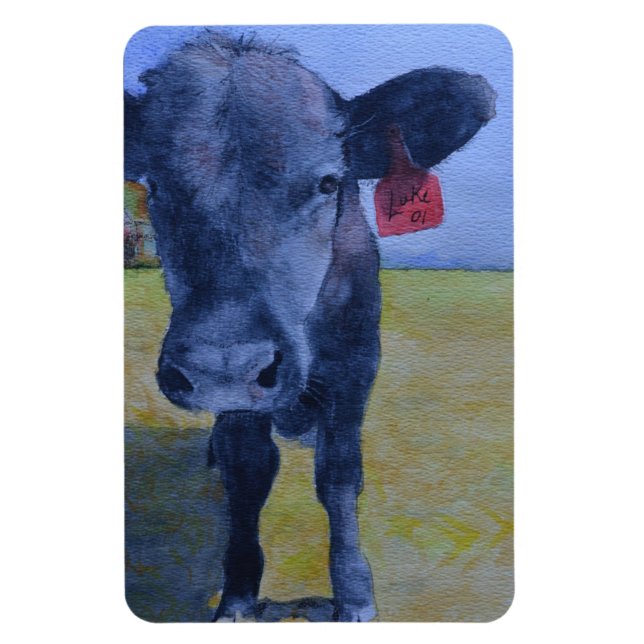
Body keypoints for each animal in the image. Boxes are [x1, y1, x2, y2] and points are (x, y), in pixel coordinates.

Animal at [125, 31, 496, 622]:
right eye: (155, 186)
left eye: (327, 182)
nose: (223, 366)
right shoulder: (240, 393)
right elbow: (247, 474)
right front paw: (238, 595)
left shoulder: (355, 367)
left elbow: (339, 475)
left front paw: (354, 594)